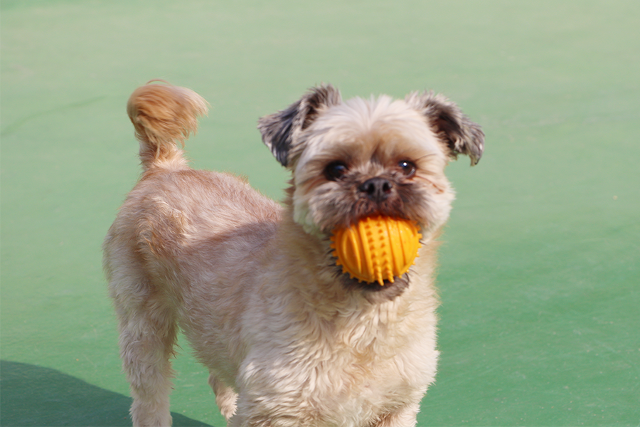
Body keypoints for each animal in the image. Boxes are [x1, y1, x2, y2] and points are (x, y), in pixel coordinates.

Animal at [104, 81, 484, 427]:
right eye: (335, 169)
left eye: (407, 166)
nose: (376, 185)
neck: (360, 321)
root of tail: (166, 168)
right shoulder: (275, 409)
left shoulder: (396, 407)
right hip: (143, 327)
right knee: (150, 398)